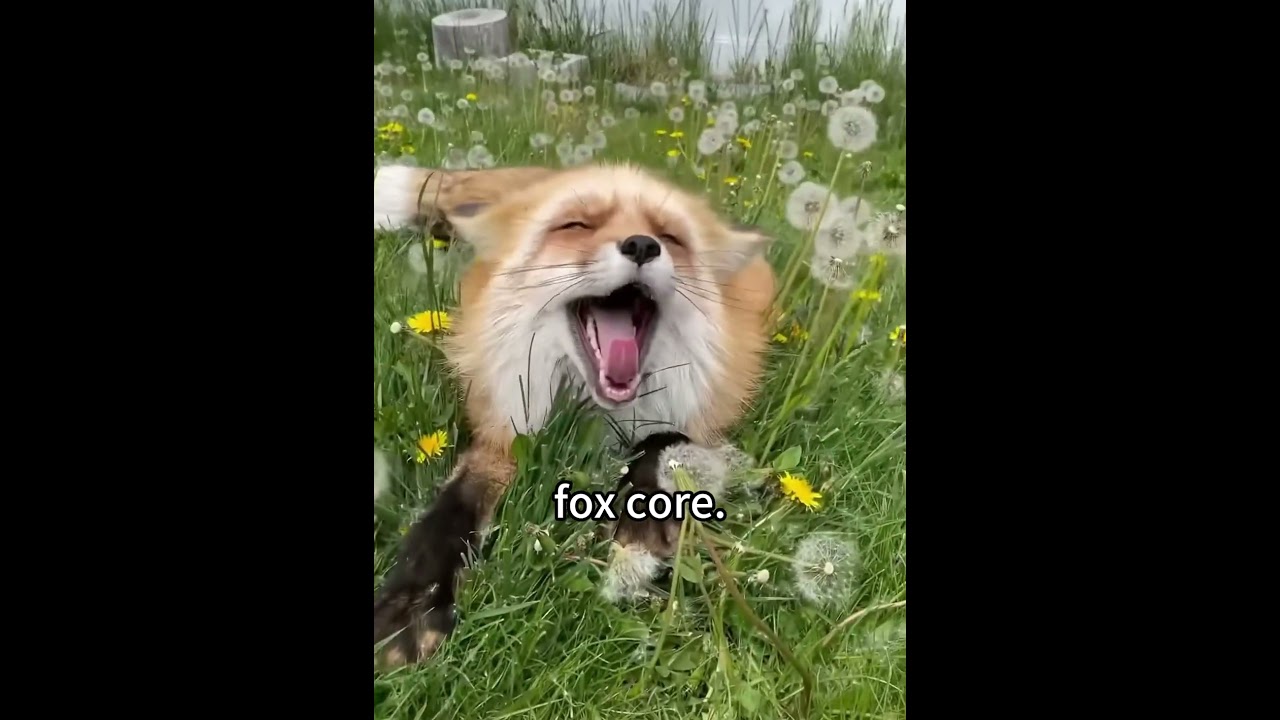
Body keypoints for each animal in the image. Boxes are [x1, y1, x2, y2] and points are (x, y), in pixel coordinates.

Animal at [372, 162, 777, 667]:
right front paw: (410, 607)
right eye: (576, 225)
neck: (593, 409)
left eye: (670, 235)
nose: (642, 245)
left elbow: (662, 442)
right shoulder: (506, 433)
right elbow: (449, 515)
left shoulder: (701, 414)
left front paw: (640, 530)